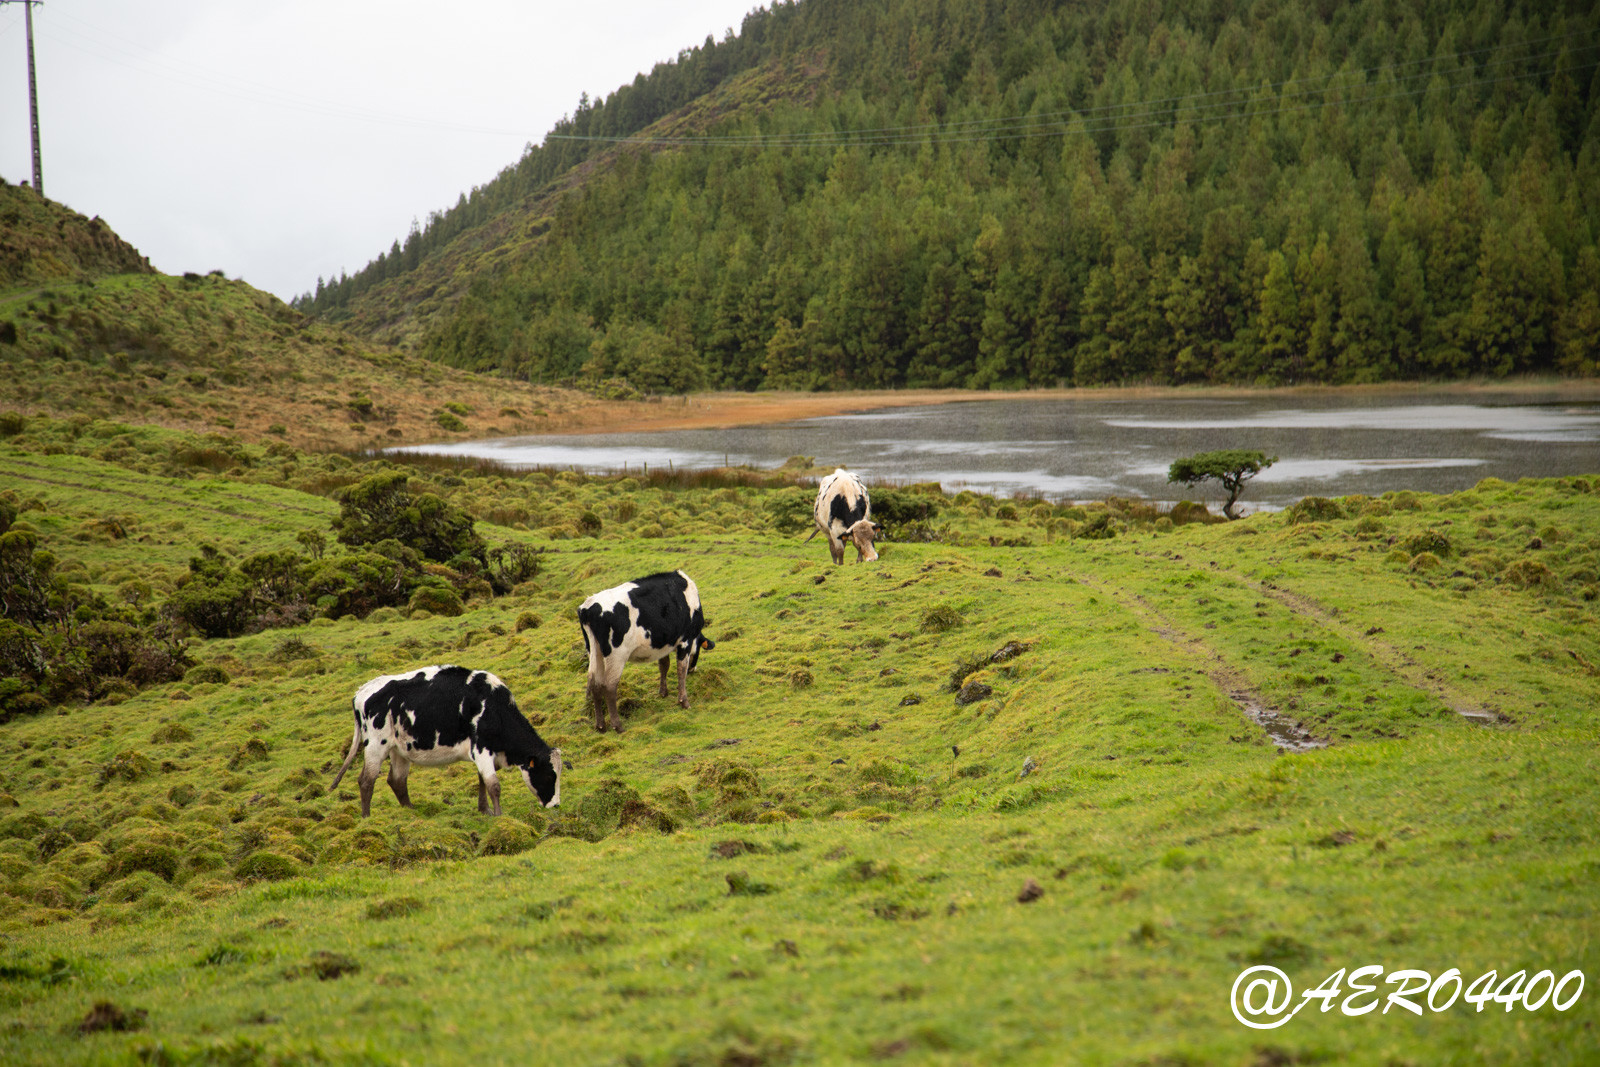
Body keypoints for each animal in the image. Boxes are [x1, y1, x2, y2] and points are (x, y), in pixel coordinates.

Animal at [324, 668, 563, 819]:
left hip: (399, 750)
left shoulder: (485, 753)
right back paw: (367, 817)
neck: (494, 708)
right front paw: (499, 815)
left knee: (396, 780)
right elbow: (494, 785)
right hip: (375, 744)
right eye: (549, 775)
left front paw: (484, 811)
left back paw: (411, 810)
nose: (556, 805)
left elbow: (482, 782)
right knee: (367, 780)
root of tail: (361, 691)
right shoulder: (482, 748)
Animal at [579, 566, 716, 735]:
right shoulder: (686, 640)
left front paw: (663, 692)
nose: (694, 670)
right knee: (609, 686)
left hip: (595, 652)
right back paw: (618, 726)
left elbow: (664, 665)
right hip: (616, 655)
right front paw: (684, 702)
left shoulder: (663, 643)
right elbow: (680, 670)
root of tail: (587, 608)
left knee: (595, 685)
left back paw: (600, 726)